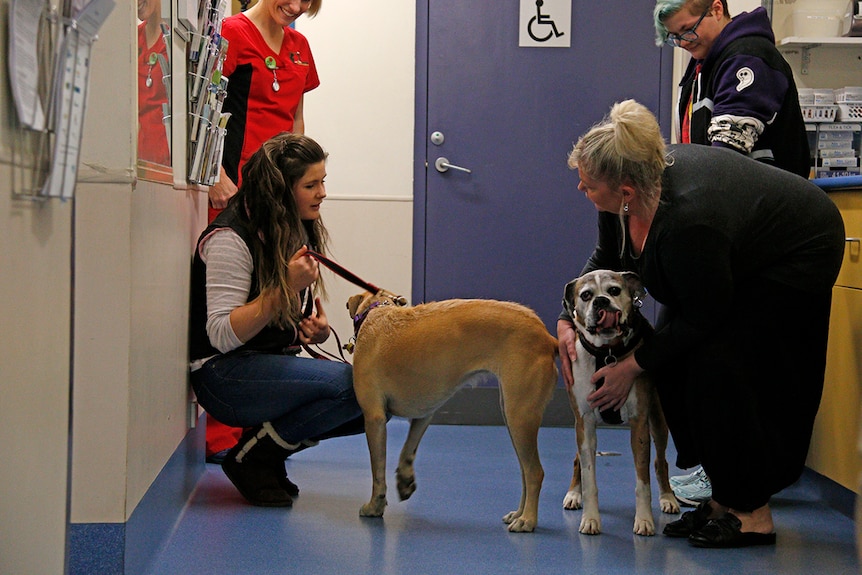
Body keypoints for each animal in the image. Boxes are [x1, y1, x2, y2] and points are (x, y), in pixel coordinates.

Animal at [348, 290, 564, 532]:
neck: (377, 310)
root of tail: (547, 337)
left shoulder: (374, 419)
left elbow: (378, 472)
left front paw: (374, 506)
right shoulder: (424, 414)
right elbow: (408, 450)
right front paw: (404, 480)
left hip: (520, 417)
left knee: (535, 472)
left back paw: (528, 520)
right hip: (513, 415)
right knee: (525, 473)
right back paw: (519, 513)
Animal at [560, 270, 680, 536]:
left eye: (614, 290)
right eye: (586, 295)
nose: (601, 302)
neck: (607, 354)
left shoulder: (639, 424)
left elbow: (642, 481)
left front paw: (644, 520)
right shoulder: (584, 423)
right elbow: (589, 476)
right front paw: (590, 518)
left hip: (658, 422)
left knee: (660, 462)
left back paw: (668, 498)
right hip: (579, 426)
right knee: (577, 460)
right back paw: (573, 493)